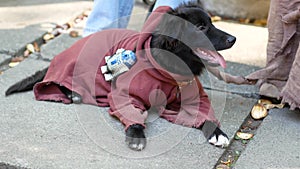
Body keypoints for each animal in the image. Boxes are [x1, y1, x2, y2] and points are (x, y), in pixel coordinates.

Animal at [5, 2, 236, 151]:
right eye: (201, 27)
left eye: (212, 23)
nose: (233, 38)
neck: (168, 67)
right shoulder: (124, 95)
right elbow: (132, 117)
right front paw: (136, 136)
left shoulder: (193, 99)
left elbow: (205, 116)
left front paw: (218, 133)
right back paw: (72, 93)